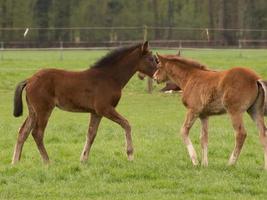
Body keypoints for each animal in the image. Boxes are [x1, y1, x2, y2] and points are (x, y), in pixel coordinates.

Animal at [12, 41, 158, 164]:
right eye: (151, 59)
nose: (157, 76)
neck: (109, 77)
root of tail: (30, 79)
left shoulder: (96, 112)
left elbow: (91, 134)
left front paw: (83, 159)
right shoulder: (104, 108)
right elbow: (126, 124)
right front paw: (130, 154)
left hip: (33, 111)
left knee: (23, 131)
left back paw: (15, 162)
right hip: (44, 109)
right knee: (37, 133)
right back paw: (47, 161)